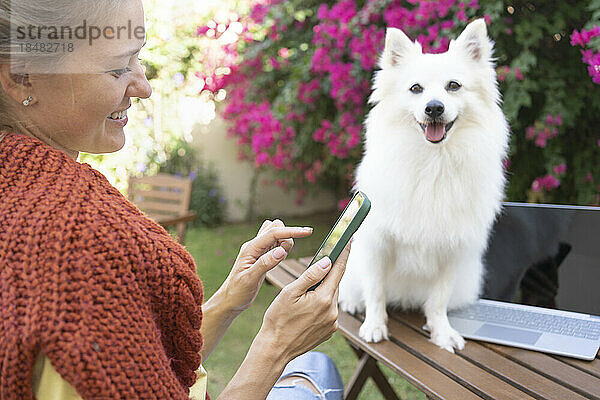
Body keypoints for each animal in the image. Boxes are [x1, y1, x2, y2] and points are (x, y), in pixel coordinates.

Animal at [340, 18, 508, 352]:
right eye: (415, 89)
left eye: (453, 86)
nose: (434, 108)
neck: (435, 162)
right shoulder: (377, 244)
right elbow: (375, 291)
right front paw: (374, 326)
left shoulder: (452, 251)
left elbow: (438, 300)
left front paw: (442, 332)